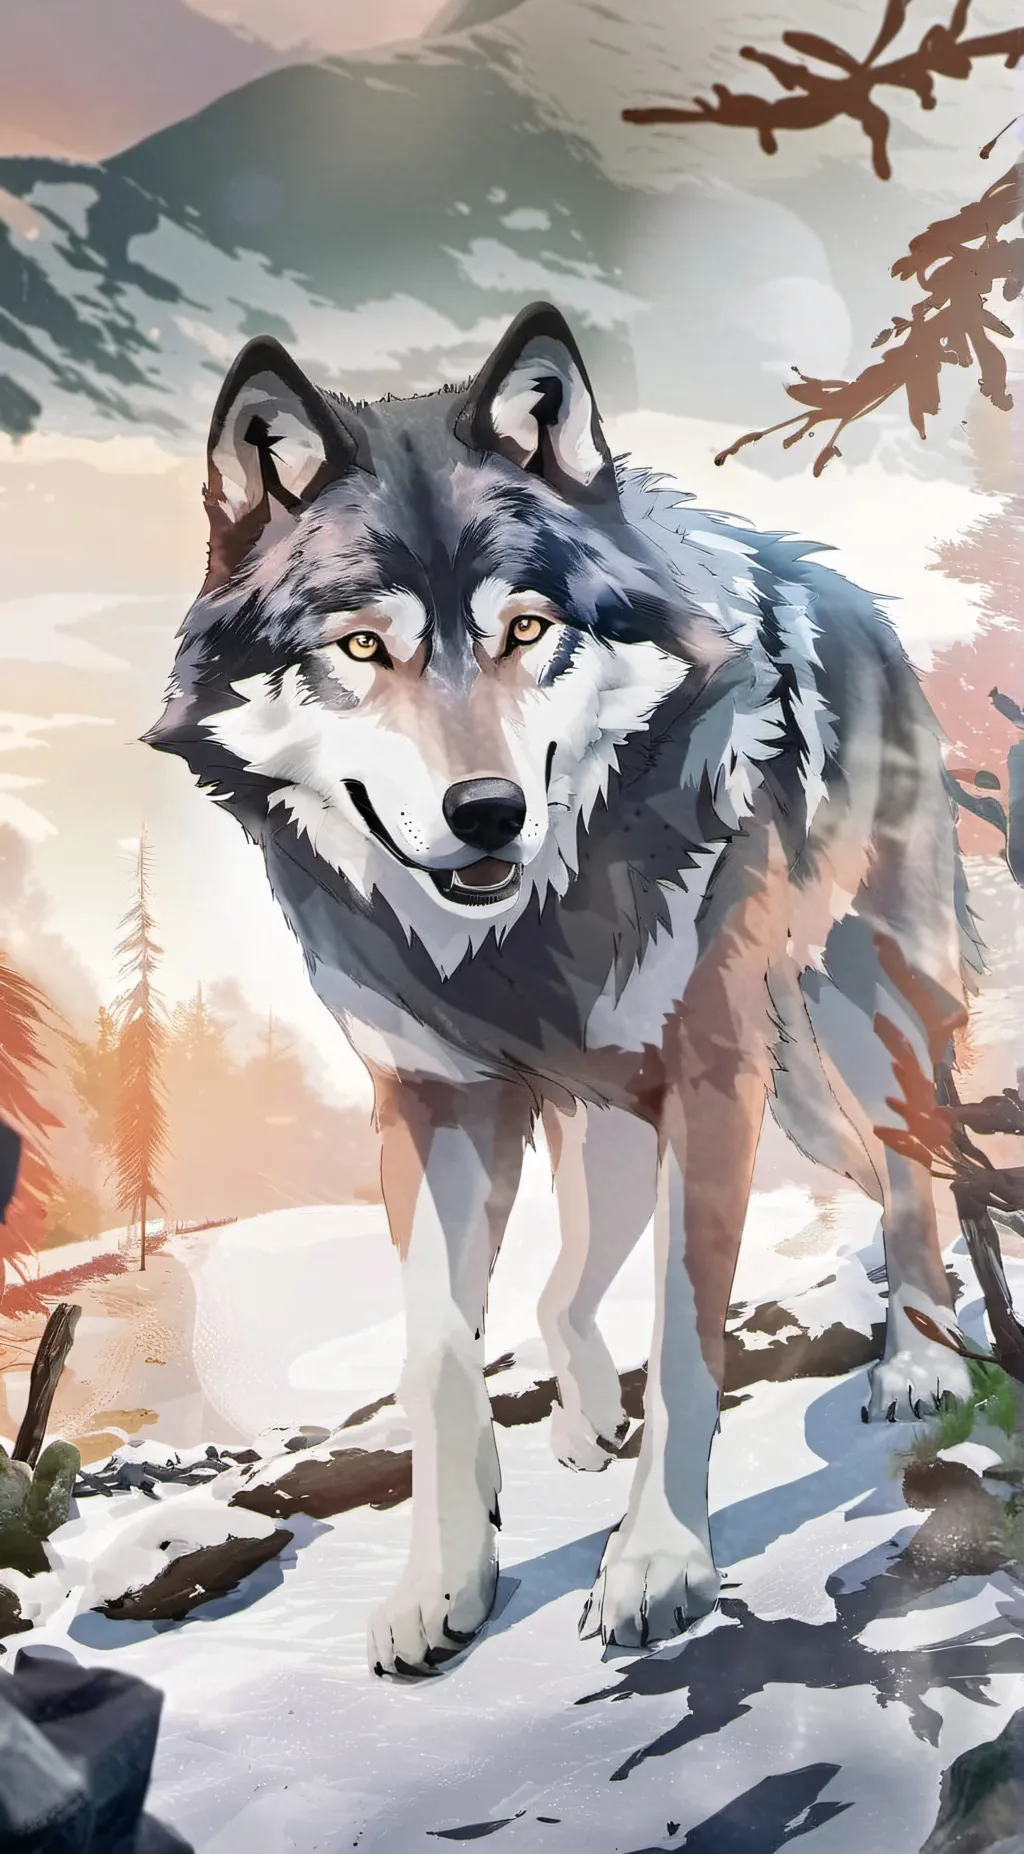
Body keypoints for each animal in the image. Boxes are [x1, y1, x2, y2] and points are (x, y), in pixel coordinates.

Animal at [148, 301, 979, 1675]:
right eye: (362, 645)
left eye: (527, 629)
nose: (485, 811)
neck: (517, 942)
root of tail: (851, 592)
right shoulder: (432, 1107)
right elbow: (437, 1358)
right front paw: (443, 1581)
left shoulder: (714, 1086)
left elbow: (689, 1341)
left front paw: (657, 1562)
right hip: (621, 1126)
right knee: (566, 1285)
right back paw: (586, 1416)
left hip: (855, 1030)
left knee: (920, 1175)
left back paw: (920, 1363)